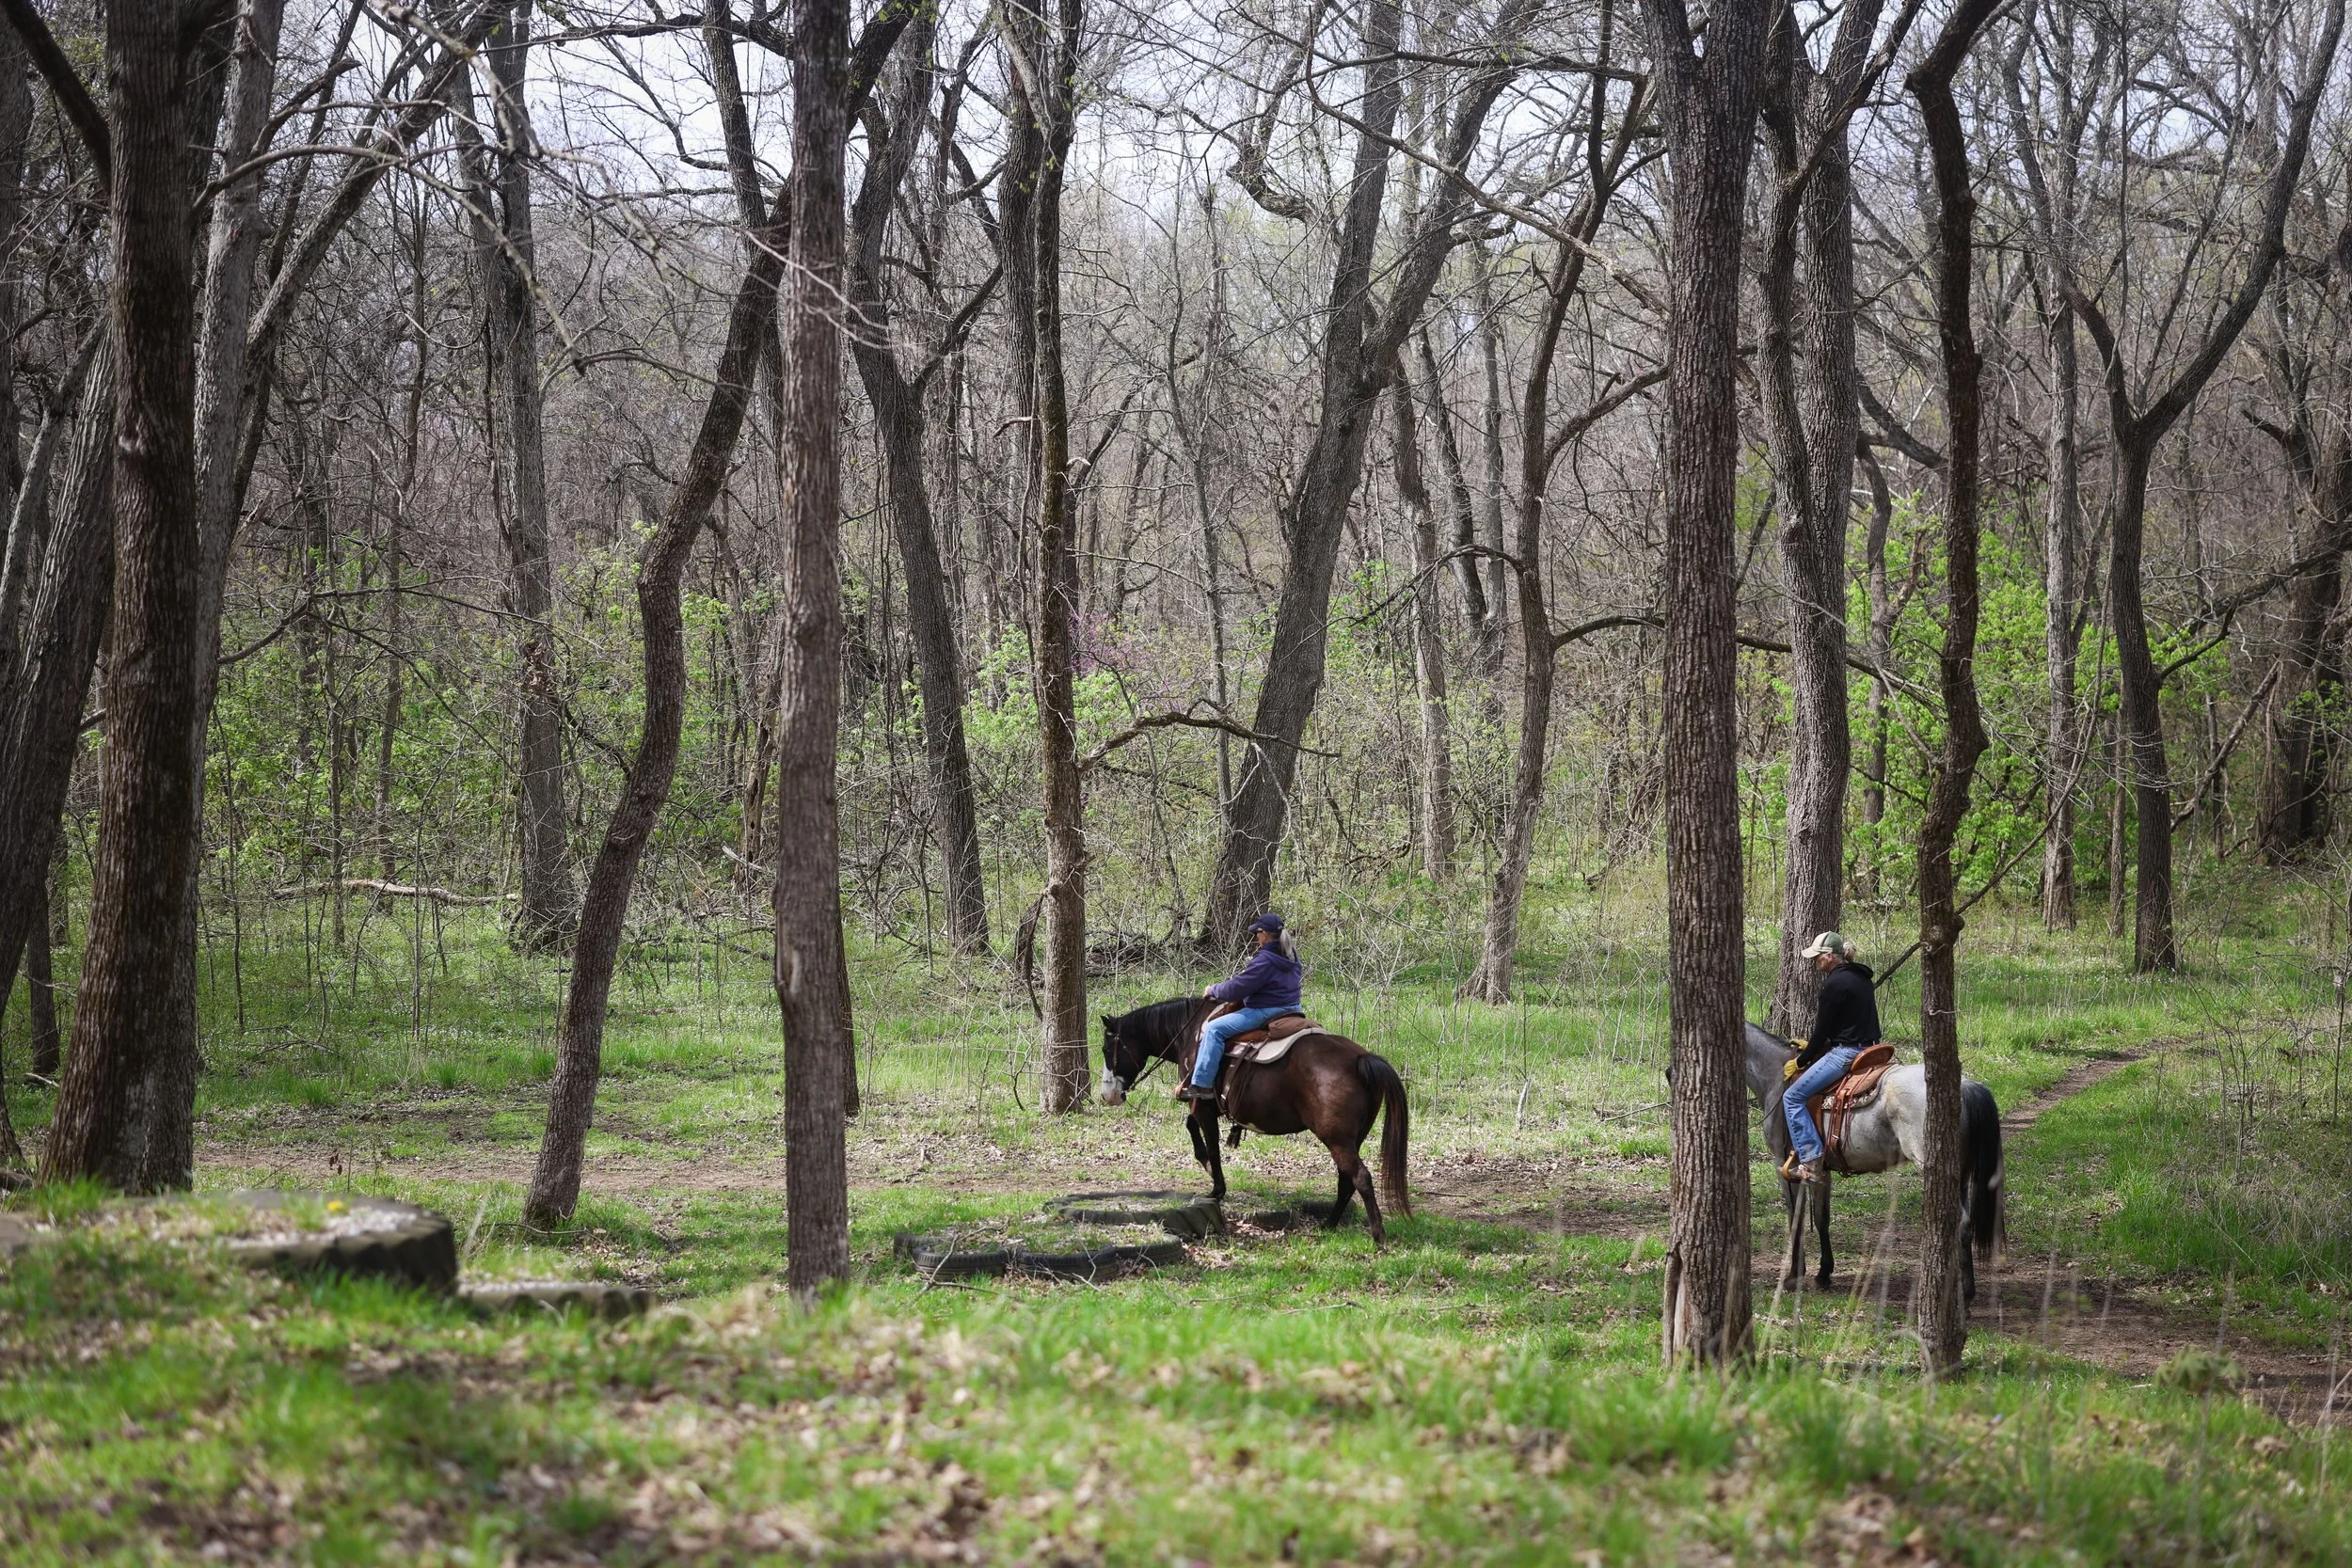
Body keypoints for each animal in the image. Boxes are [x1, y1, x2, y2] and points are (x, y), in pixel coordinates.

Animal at [1097, 998, 1411, 1246]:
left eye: (1106, 1049)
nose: (1107, 1094)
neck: (1192, 1033)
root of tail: (1361, 1058)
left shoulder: (1202, 1105)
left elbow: (1212, 1146)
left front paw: (1216, 1188)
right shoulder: (1205, 1107)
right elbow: (1192, 1128)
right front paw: (1207, 1167)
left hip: (1337, 1139)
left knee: (1360, 1177)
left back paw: (1378, 1234)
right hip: (1350, 1138)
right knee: (1346, 1180)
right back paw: (1330, 1225)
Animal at [1739, 1022, 2005, 1299]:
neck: (1775, 1079)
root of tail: (1965, 1086)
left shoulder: (1784, 1165)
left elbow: (1796, 1218)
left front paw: (1794, 1275)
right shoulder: (1821, 1171)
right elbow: (1822, 1218)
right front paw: (1823, 1273)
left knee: (1959, 1220)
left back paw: (1961, 1290)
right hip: (1960, 1172)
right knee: (1966, 1222)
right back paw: (1965, 1286)